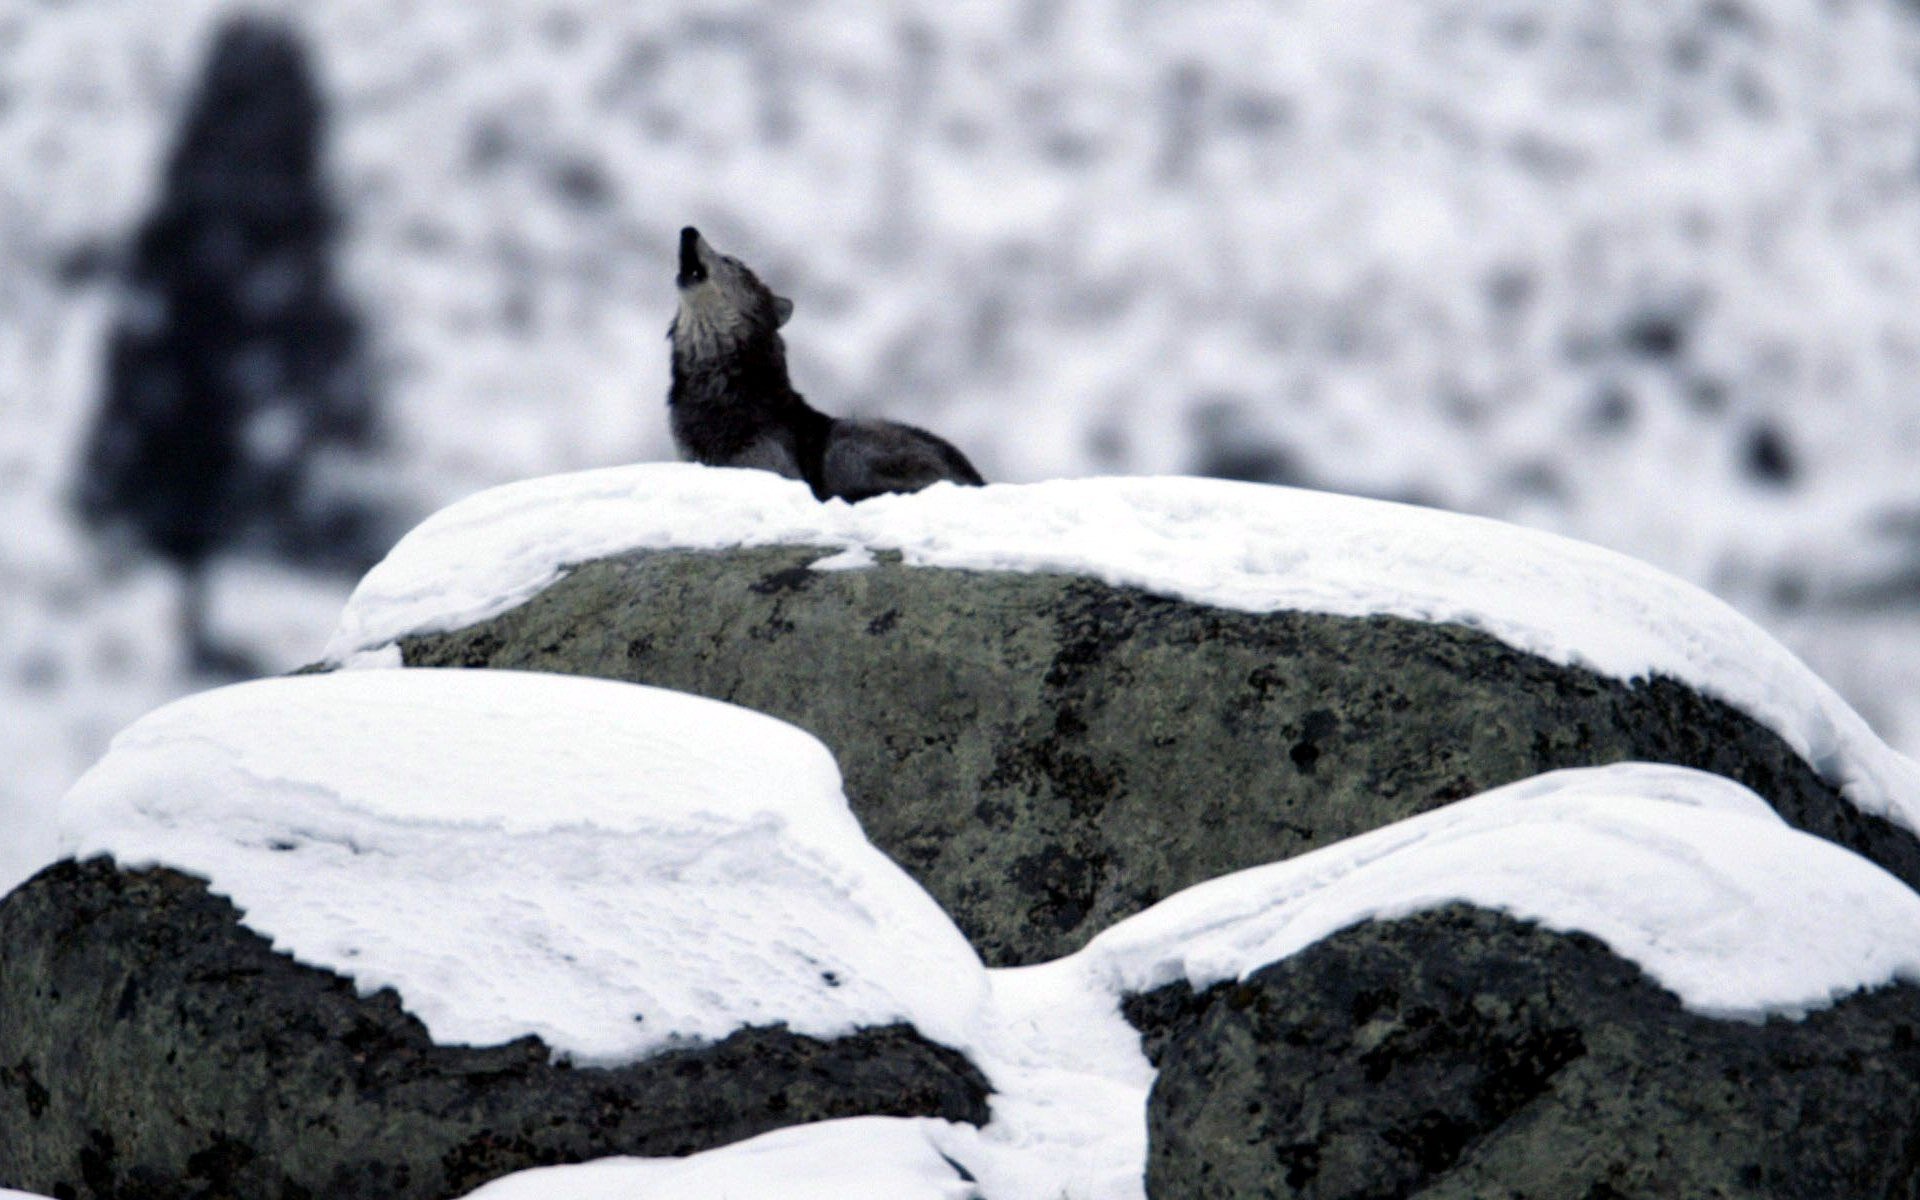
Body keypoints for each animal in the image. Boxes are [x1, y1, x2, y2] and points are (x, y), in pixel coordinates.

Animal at [667, 227, 985, 502]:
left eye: (729, 261)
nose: (688, 231)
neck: (718, 388)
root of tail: (977, 481)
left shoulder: (773, 469)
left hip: (844, 442)